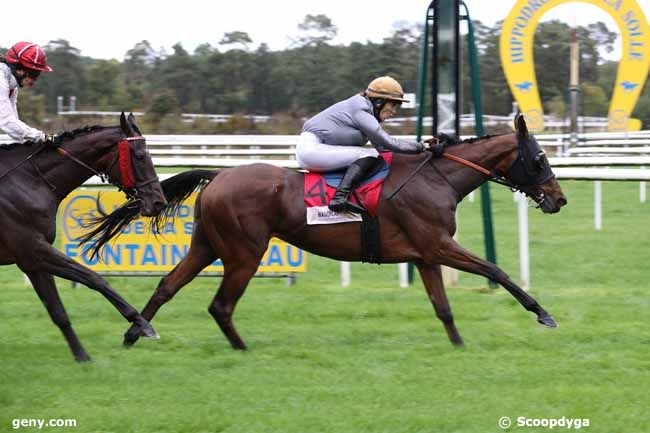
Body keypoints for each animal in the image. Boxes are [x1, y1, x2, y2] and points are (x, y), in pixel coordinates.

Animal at [1, 112, 167, 362]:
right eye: (140, 156)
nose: (158, 202)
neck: (30, 180)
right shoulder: (33, 249)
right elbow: (94, 278)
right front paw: (142, 324)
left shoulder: (32, 260)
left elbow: (57, 311)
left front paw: (81, 355)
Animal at [83, 114, 564, 348]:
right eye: (540, 158)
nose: (559, 199)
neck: (437, 178)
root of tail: (219, 174)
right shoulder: (439, 245)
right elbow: (496, 271)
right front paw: (543, 313)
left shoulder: (425, 254)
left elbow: (443, 307)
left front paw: (459, 344)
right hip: (243, 252)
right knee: (221, 305)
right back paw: (241, 349)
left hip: (206, 245)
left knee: (168, 285)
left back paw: (134, 332)